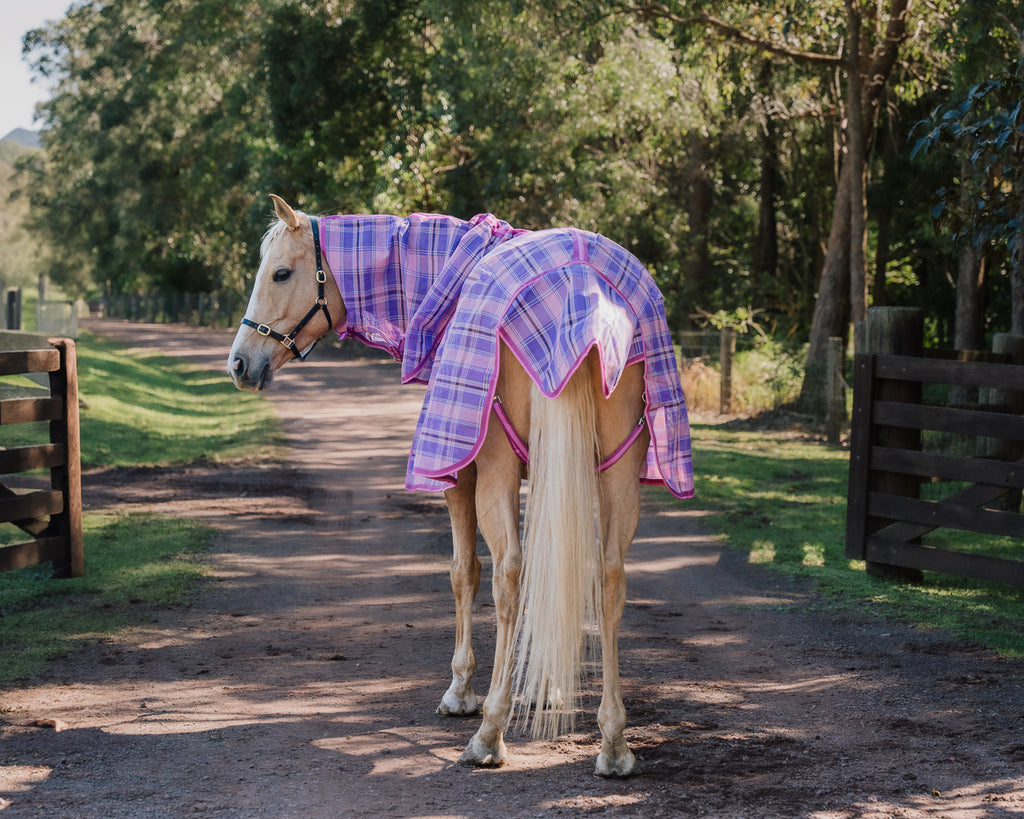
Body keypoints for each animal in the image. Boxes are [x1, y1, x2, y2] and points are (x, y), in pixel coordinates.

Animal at [227, 195, 694, 777]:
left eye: (281, 273)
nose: (240, 363)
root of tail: (581, 291)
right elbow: (555, 565)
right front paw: (547, 690)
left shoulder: (464, 477)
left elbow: (464, 571)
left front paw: (462, 692)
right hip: (618, 466)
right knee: (608, 575)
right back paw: (613, 743)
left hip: (496, 470)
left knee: (508, 574)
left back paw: (489, 732)